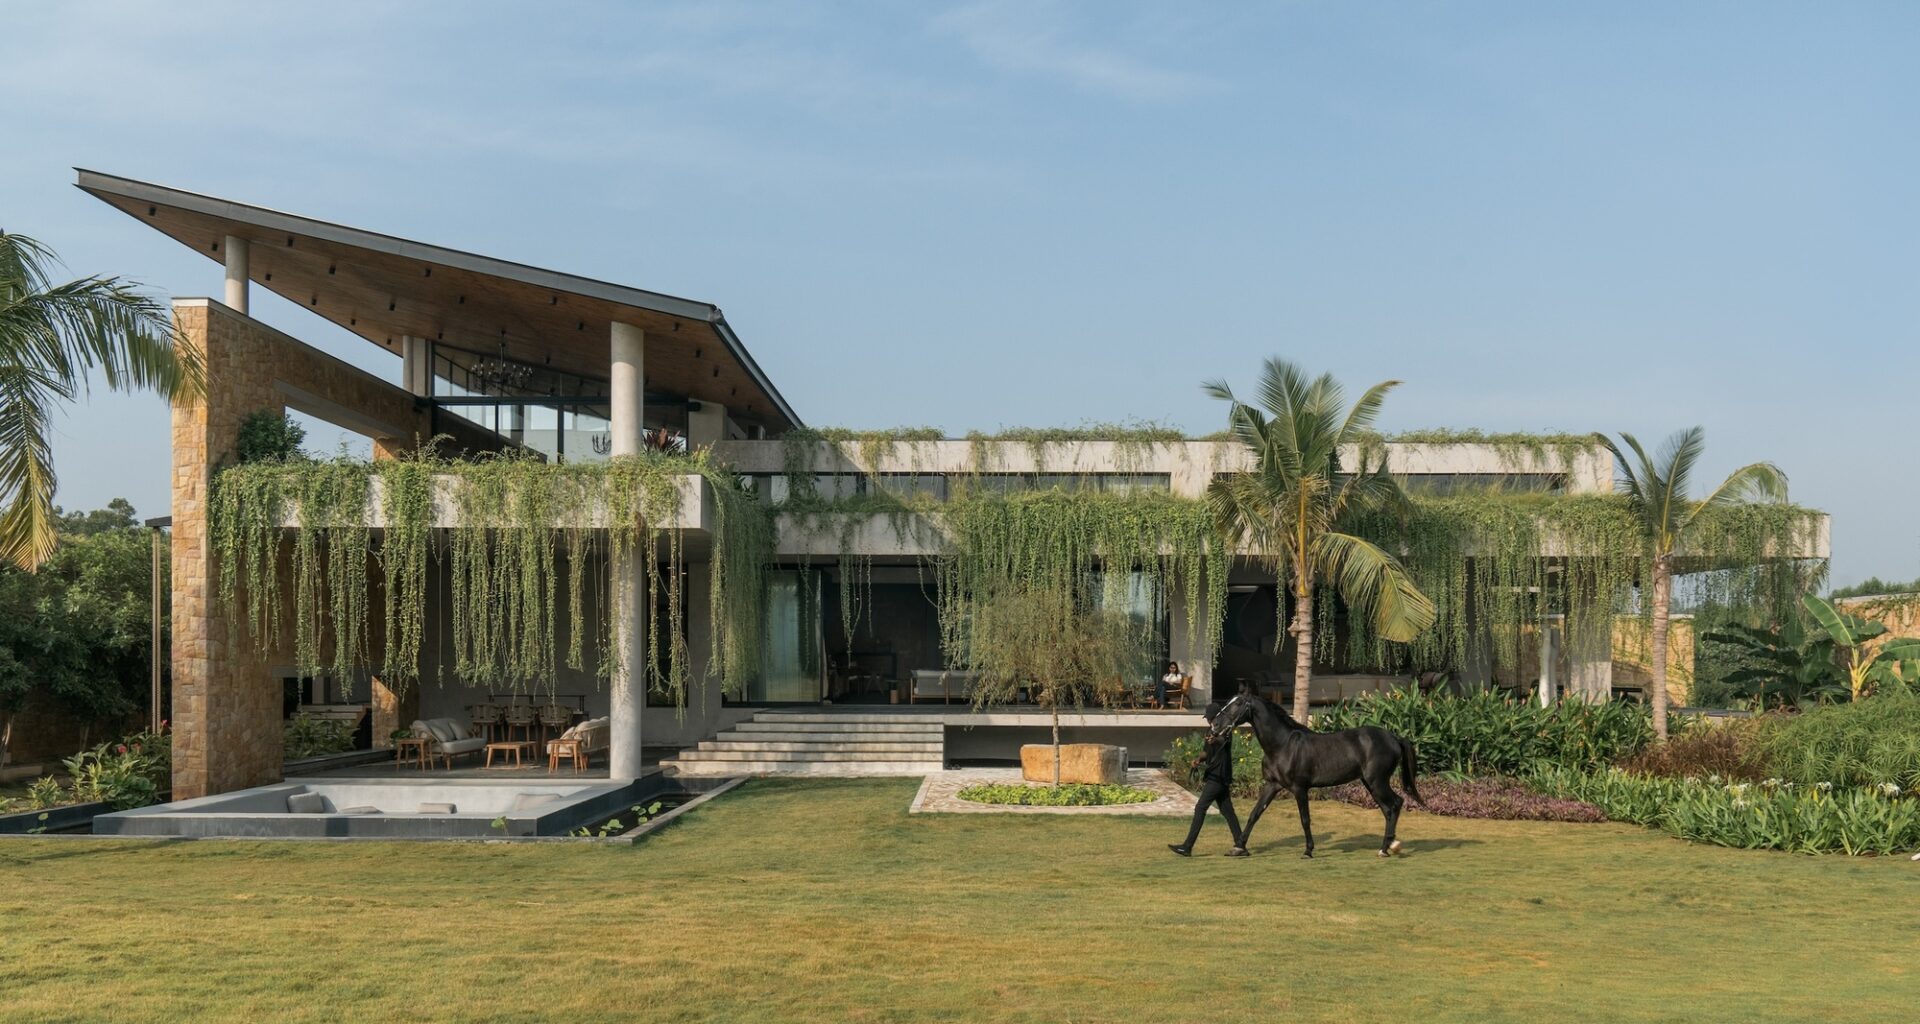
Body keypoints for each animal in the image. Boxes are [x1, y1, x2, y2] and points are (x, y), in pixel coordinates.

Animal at [1209, 684, 1424, 858]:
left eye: (1238, 703)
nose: (1214, 725)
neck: (1283, 745)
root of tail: (1394, 737)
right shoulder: (1272, 785)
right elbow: (1255, 814)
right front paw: (1238, 848)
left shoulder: (1299, 788)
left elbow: (1305, 819)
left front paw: (1308, 851)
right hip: (1370, 783)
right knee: (1388, 809)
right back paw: (1387, 847)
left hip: (1377, 781)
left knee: (1396, 803)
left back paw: (1387, 848)